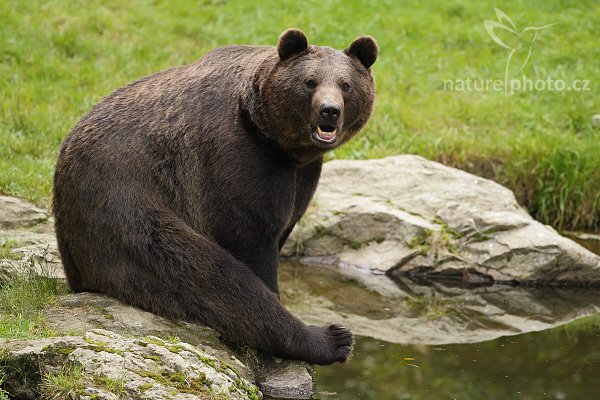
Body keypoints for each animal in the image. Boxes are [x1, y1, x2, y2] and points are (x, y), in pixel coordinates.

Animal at [54, 28, 378, 366]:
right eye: (310, 82)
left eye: (346, 84)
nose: (330, 110)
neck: (275, 140)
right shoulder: (234, 158)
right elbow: (249, 237)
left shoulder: (302, 174)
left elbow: (284, 223)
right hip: (126, 210)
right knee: (208, 277)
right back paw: (332, 338)